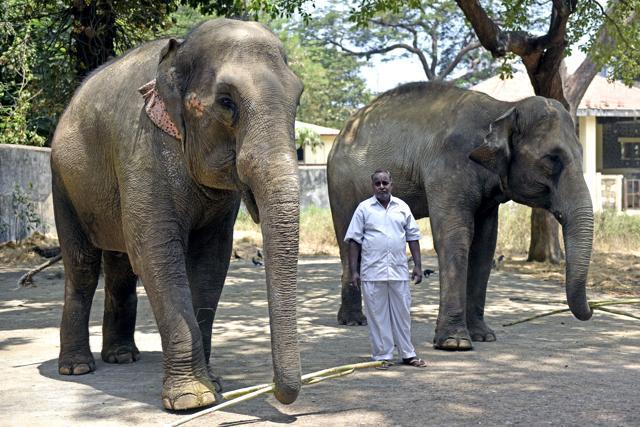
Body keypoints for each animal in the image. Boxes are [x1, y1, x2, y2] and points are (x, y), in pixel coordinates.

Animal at [49, 19, 302, 412]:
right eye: (227, 102)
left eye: (298, 99)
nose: (278, 391)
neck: (180, 49)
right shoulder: (142, 150)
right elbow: (156, 253)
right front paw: (191, 399)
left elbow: (211, 260)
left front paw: (214, 385)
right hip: (64, 183)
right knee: (83, 266)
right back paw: (76, 367)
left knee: (120, 266)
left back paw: (122, 356)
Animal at [330, 80, 596, 352]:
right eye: (552, 159)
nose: (592, 311)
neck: (503, 108)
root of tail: (343, 132)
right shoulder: (448, 168)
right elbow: (454, 237)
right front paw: (454, 342)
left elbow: (485, 244)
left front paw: (483, 336)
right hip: (341, 183)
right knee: (349, 240)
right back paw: (353, 320)